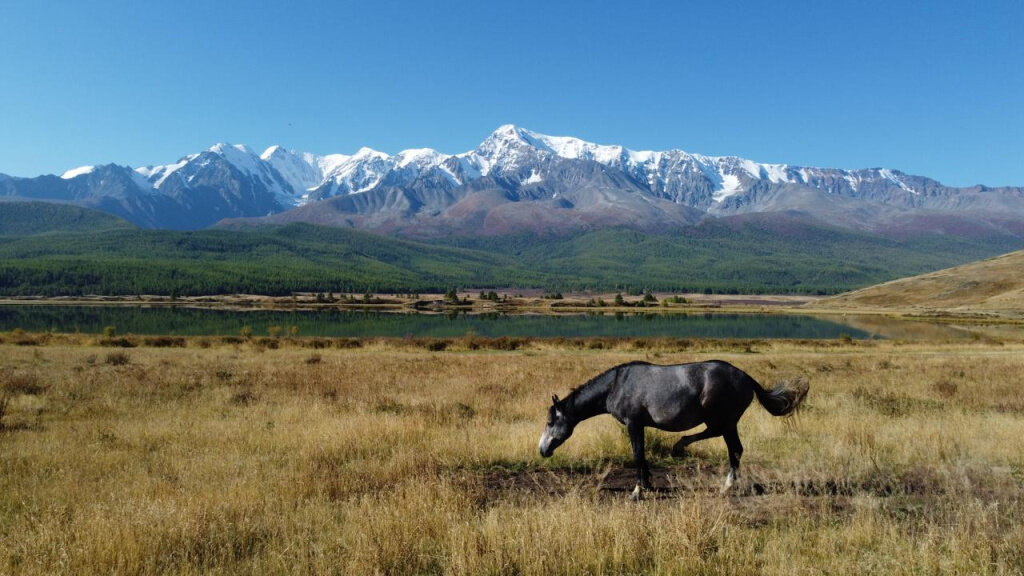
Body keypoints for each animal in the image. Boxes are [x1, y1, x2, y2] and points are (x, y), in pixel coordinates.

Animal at [536, 358, 806, 498]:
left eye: (550, 422)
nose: (542, 450)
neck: (617, 385)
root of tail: (746, 378)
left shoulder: (633, 423)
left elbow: (637, 454)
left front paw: (637, 491)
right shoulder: (640, 426)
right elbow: (642, 455)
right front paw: (647, 484)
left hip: (724, 420)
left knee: (729, 445)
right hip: (728, 422)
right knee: (732, 447)